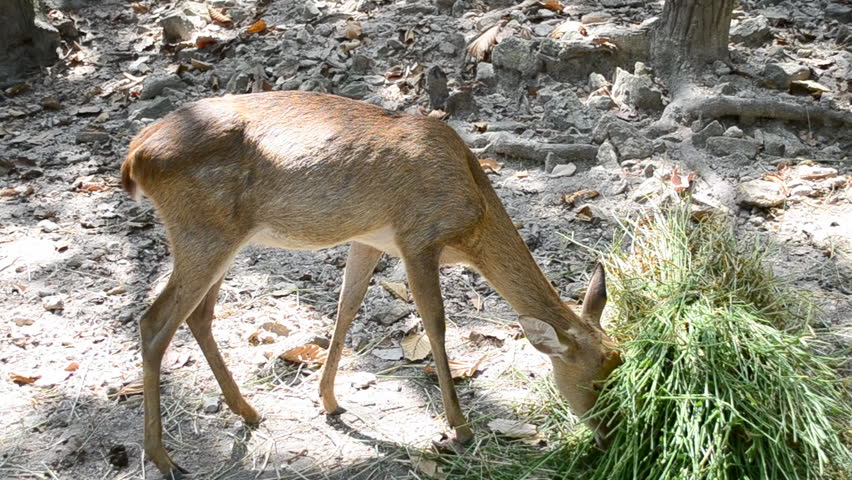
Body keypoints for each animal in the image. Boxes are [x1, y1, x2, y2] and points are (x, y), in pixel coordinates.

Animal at [121, 91, 622, 478]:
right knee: (155, 322)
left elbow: (347, 307)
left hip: (219, 239)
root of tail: (134, 157)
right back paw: (165, 459)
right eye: (597, 382)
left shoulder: (368, 239)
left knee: (199, 316)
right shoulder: (419, 237)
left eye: (618, 364)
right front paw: (459, 429)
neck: (472, 216)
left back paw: (249, 412)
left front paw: (328, 401)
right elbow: (436, 325)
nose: (609, 438)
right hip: (203, 233)